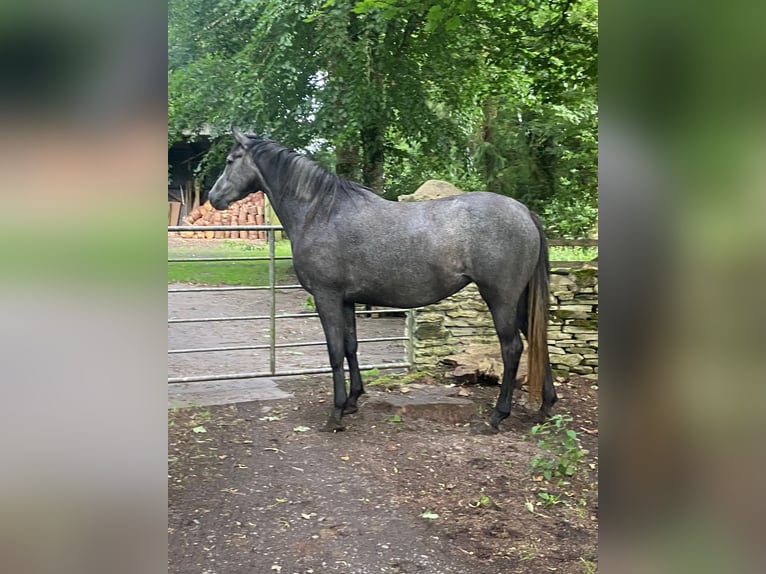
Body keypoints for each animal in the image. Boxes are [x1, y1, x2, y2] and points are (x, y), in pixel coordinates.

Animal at [209, 128, 557, 432]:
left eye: (230, 159)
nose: (214, 197)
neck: (321, 212)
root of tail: (525, 212)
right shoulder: (346, 301)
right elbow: (351, 347)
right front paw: (352, 401)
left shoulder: (326, 297)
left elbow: (334, 351)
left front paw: (336, 414)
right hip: (521, 299)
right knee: (538, 340)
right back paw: (546, 406)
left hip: (500, 298)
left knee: (512, 348)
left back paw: (498, 416)